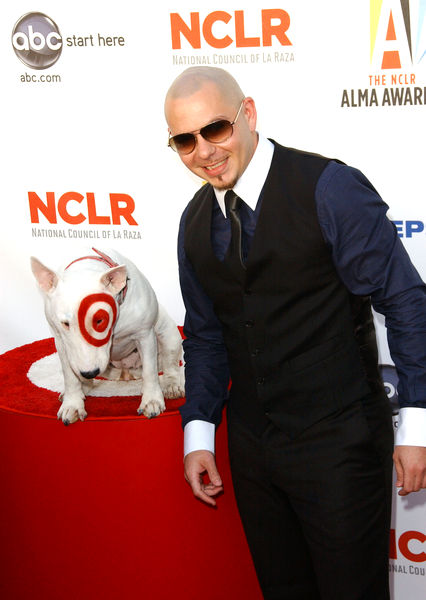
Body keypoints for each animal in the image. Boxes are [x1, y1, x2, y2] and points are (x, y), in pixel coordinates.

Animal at [30, 246, 183, 424]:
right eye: (65, 323)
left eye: (100, 320)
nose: (90, 372)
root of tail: (126, 373)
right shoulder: (61, 341)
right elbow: (70, 375)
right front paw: (72, 404)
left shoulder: (144, 334)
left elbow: (150, 371)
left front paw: (151, 401)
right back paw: (84, 387)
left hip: (169, 335)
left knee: (169, 363)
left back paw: (172, 386)